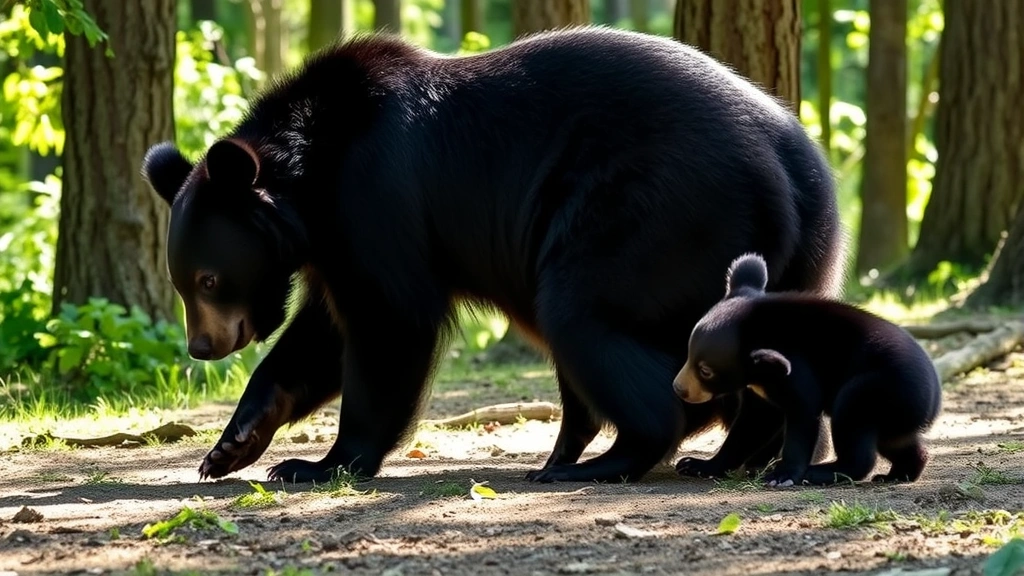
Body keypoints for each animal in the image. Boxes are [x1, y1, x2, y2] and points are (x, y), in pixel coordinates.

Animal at [140, 26, 847, 485]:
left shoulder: (379, 199)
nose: (203, 346)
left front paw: (322, 463)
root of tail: (785, 174)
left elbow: (389, 322)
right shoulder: (335, 244)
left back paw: (603, 461)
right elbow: (319, 336)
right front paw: (230, 447)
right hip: (803, 251)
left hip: (655, 217)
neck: (313, 182)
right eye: (183, 282)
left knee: (583, 316)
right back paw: (722, 457)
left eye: (208, 278)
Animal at [673, 253, 942, 486]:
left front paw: (781, 475)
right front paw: (697, 465)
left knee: (853, 421)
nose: (678, 389)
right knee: (898, 442)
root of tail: (932, 403)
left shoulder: (798, 367)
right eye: (689, 353)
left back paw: (820, 473)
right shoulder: (762, 389)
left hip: (878, 387)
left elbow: (802, 414)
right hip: (895, 414)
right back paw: (897, 474)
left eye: (705, 370)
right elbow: (753, 423)